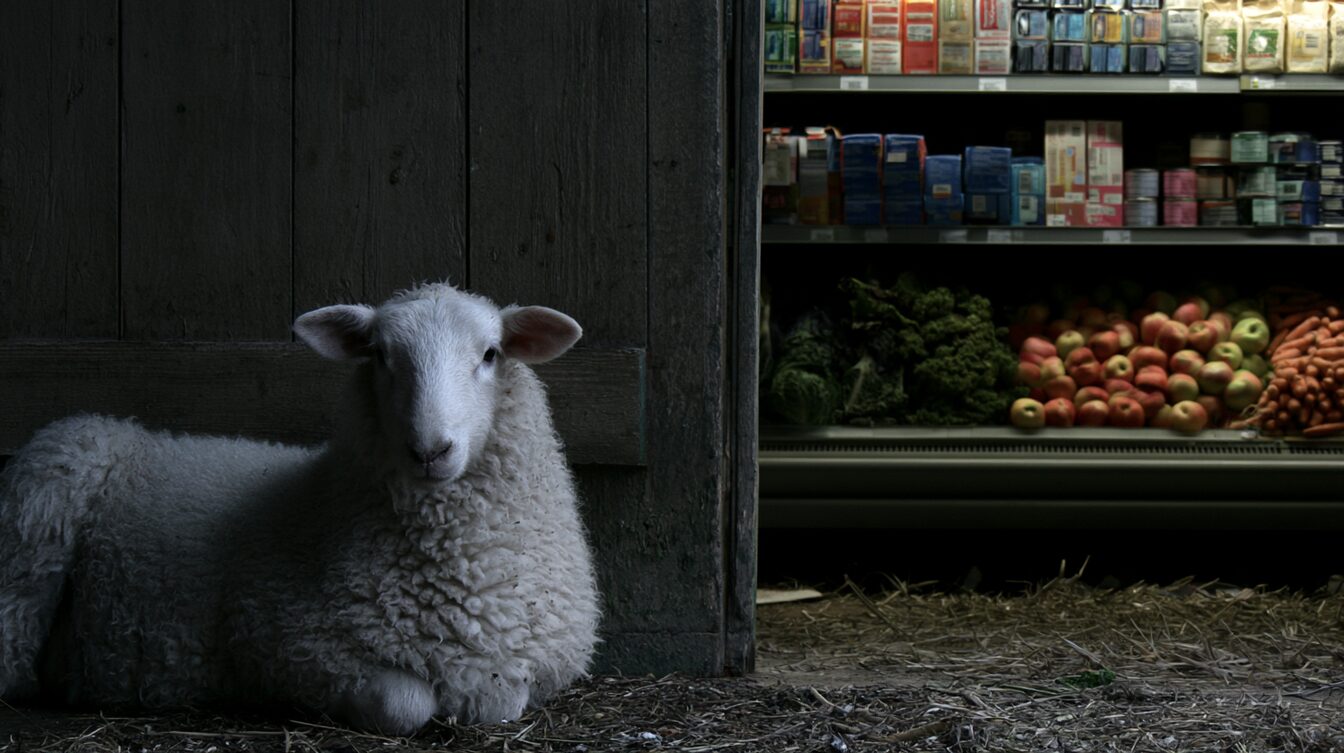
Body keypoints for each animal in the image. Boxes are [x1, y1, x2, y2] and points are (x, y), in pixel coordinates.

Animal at [0, 282, 600, 735]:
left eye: (491, 354)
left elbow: (499, 703)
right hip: (43, 507)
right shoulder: (300, 653)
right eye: (379, 355)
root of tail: (123, 427)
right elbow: (405, 706)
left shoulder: (521, 664)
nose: (430, 450)